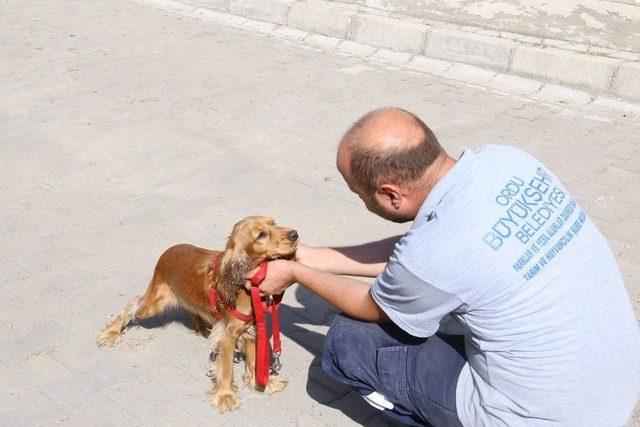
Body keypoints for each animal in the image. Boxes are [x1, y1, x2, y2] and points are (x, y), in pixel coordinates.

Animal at [97, 216, 298, 412]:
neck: (242, 284)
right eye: (261, 235)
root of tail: (168, 250)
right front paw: (225, 396)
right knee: (131, 306)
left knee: (189, 308)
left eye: (274, 223)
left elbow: (255, 361)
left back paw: (202, 327)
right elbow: (226, 368)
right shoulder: (227, 334)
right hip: (152, 304)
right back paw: (111, 332)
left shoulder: (251, 328)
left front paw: (264, 383)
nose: (295, 234)